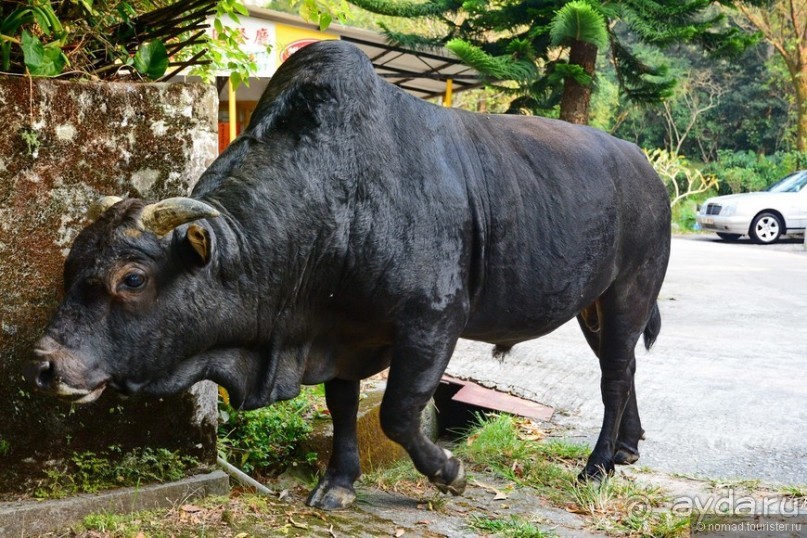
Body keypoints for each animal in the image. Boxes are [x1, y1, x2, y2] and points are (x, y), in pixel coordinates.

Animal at [23, 40, 668, 506]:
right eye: (71, 267)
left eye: (131, 279)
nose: (45, 365)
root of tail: (648, 169)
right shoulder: (339, 333)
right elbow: (341, 406)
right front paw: (338, 483)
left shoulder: (433, 321)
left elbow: (398, 412)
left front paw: (450, 472)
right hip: (594, 308)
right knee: (627, 368)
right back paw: (628, 449)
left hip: (628, 293)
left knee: (614, 377)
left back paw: (597, 466)